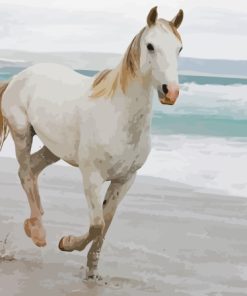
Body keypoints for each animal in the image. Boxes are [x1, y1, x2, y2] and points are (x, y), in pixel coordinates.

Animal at [0, 7, 182, 280]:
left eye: (179, 48)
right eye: (150, 46)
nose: (170, 91)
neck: (118, 115)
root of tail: (17, 77)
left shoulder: (124, 180)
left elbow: (106, 224)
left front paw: (92, 272)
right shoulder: (92, 176)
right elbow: (97, 224)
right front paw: (66, 243)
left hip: (54, 150)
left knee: (32, 169)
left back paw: (34, 225)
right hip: (22, 133)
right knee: (25, 173)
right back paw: (39, 234)